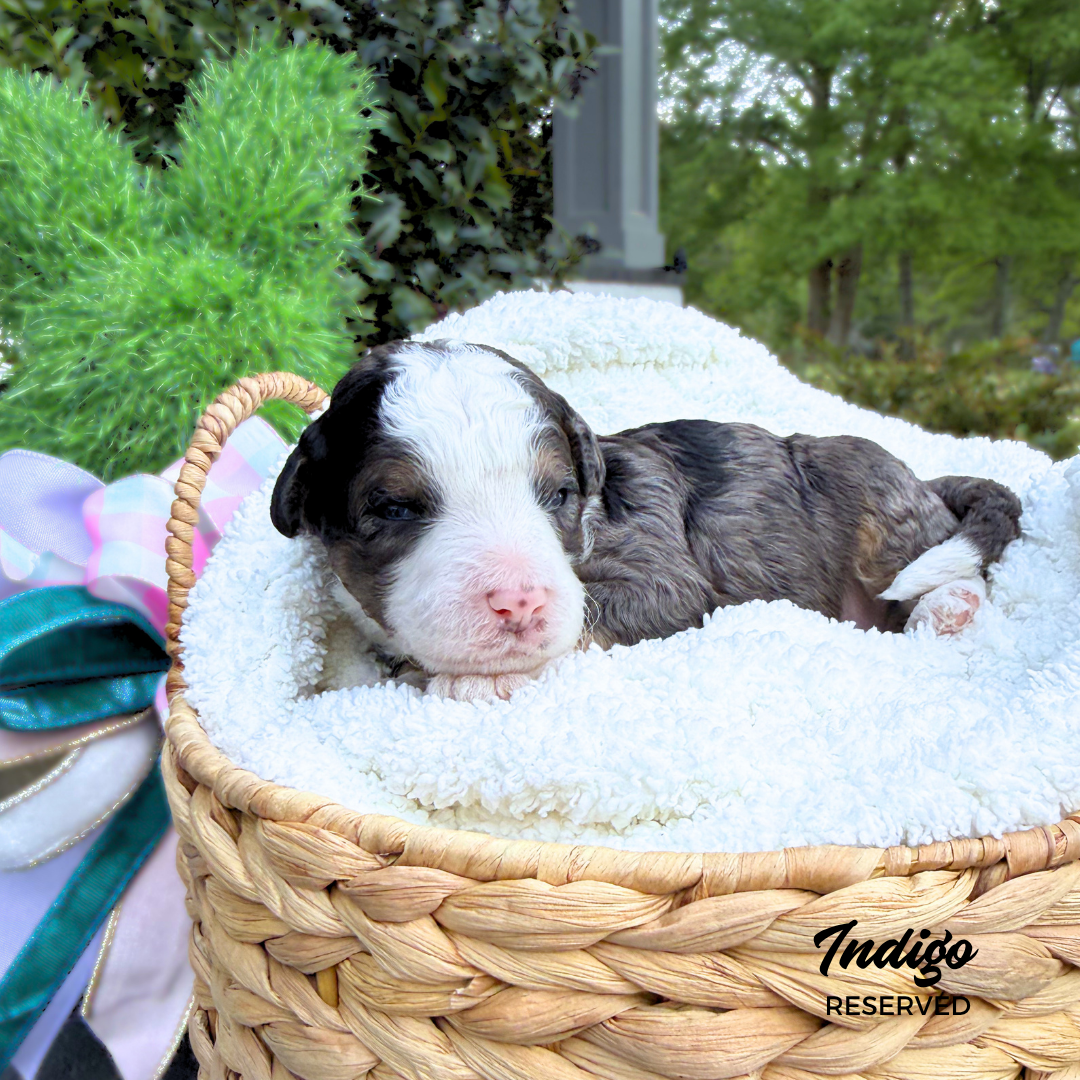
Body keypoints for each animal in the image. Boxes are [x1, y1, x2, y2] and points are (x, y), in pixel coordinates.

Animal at [271, 339, 1022, 701]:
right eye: (393, 507)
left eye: (558, 494)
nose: (520, 603)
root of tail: (928, 481)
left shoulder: (664, 572)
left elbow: (598, 615)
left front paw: (482, 680)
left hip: (867, 488)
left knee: (948, 565)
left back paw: (947, 610)